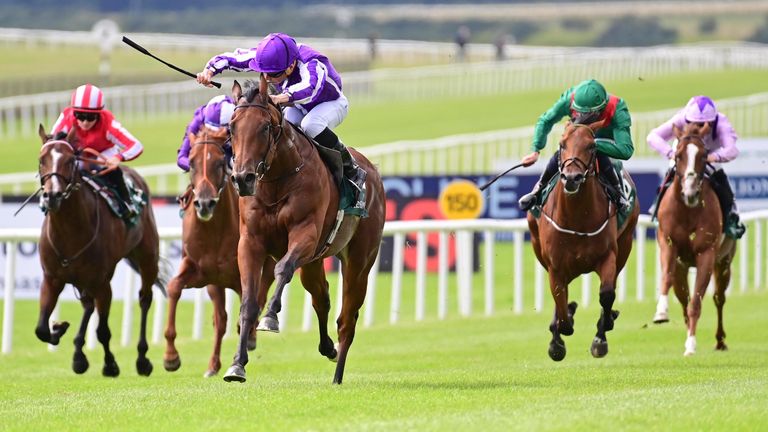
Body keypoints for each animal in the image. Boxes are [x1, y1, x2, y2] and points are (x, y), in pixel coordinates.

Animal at [35, 126, 164, 376]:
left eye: (70, 160)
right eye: (41, 159)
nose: (52, 195)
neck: (70, 231)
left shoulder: (102, 282)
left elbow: (103, 331)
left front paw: (111, 365)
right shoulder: (52, 278)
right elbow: (41, 330)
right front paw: (59, 328)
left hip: (146, 257)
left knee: (144, 298)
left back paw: (142, 359)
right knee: (88, 304)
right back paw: (78, 354)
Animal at [160, 126, 274, 376]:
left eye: (220, 162)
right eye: (192, 162)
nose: (204, 203)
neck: (213, 232)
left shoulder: (243, 272)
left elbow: (249, 303)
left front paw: (248, 338)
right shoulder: (200, 271)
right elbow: (173, 288)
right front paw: (171, 357)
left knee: (261, 293)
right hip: (215, 283)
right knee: (220, 319)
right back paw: (213, 365)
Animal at [225, 77, 388, 384]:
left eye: (264, 127)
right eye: (231, 127)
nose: (242, 178)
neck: (277, 180)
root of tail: (373, 172)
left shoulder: (306, 234)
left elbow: (282, 269)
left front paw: (271, 317)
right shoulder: (250, 243)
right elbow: (249, 302)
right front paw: (237, 365)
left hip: (360, 260)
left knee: (347, 319)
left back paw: (337, 375)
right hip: (313, 262)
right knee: (321, 298)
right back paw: (328, 348)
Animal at [528, 121, 640, 362]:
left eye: (591, 146)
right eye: (562, 144)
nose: (572, 178)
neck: (577, 217)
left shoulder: (608, 256)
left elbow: (607, 294)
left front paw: (602, 333)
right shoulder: (556, 267)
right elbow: (561, 308)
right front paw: (558, 339)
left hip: (625, 244)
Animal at [656, 120, 736, 354]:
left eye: (704, 155)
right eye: (678, 155)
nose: (690, 193)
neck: (688, 211)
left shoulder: (706, 254)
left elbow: (698, 302)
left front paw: (691, 345)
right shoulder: (668, 244)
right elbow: (667, 278)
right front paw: (661, 312)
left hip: (724, 261)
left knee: (719, 298)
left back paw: (720, 340)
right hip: (682, 268)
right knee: (683, 299)